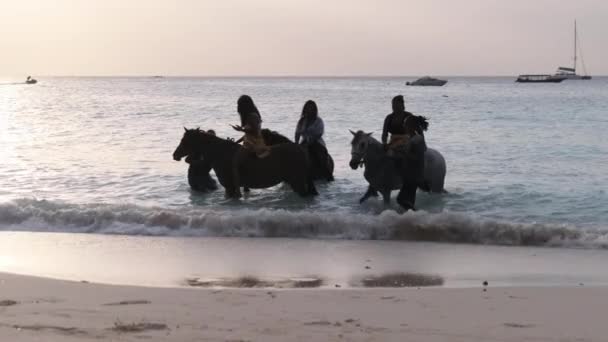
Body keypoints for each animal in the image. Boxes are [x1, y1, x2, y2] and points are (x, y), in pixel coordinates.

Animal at [172, 128, 318, 198]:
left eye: (185, 140)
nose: (175, 155)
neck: (222, 153)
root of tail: (301, 150)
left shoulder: (231, 188)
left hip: (298, 182)